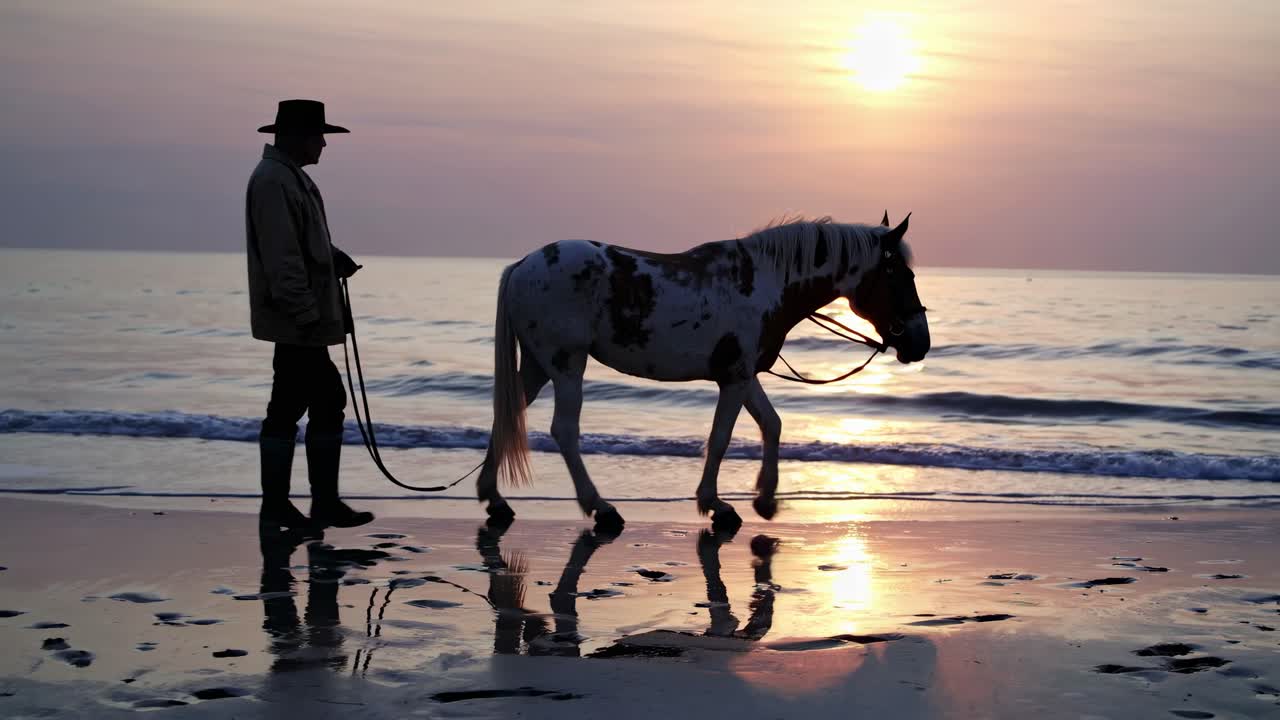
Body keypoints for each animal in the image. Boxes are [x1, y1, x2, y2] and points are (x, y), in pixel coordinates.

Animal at [475, 213, 930, 530]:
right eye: (901, 275)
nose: (919, 343)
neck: (764, 283)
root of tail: (522, 265)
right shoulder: (735, 378)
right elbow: (721, 438)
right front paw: (715, 504)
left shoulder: (743, 375)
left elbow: (771, 424)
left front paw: (765, 499)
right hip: (567, 365)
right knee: (565, 431)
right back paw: (600, 508)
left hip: (538, 366)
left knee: (506, 415)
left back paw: (494, 498)